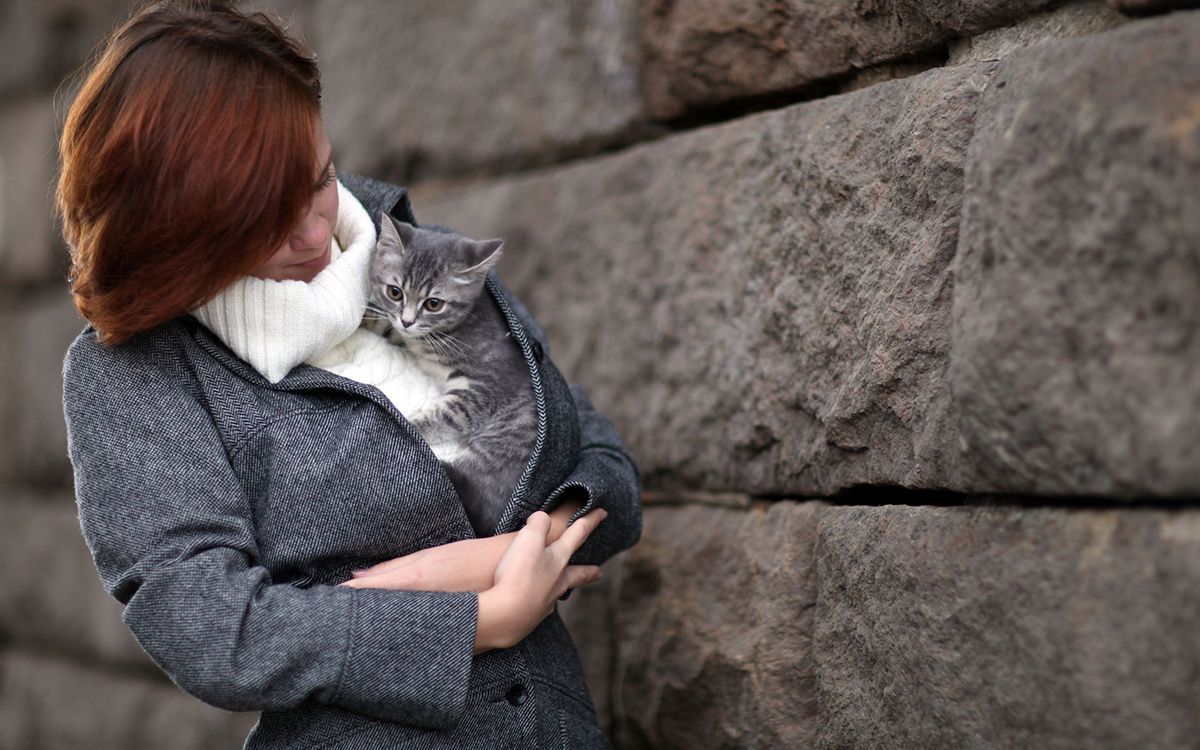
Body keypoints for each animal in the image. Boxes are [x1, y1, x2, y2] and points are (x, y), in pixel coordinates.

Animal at [362, 213, 537, 535]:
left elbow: (445, 415)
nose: (408, 320)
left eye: (434, 304)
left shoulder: (483, 390)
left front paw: (408, 424)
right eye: (395, 292)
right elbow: (386, 324)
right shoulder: (407, 335)